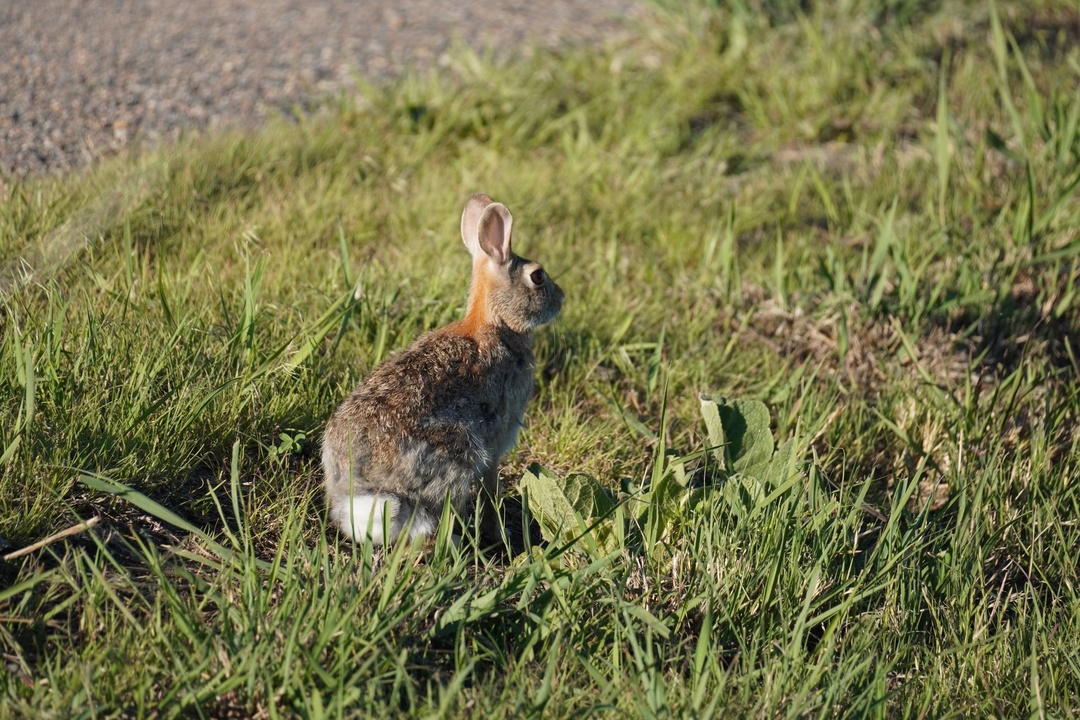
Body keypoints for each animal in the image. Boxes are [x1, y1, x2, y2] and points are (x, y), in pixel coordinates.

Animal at [322, 193, 564, 545]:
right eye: (538, 276)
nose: (562, 298)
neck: (496, 323)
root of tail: (361, 495)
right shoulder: (495, 446)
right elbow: (490, 493)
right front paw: (500, 534)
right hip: (458, 453)